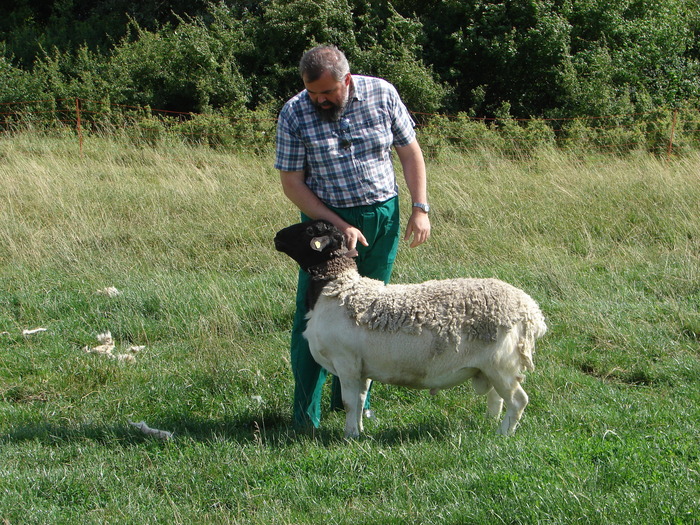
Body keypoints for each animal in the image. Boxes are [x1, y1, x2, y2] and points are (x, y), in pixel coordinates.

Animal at [274, 219, 548, 436]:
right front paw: (360, 431)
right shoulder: (362, 368)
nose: (277, 236)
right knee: (497, 398)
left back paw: (503, 434)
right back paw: (491, 425)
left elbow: (350, 402)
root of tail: (531, 312)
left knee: (517, 401)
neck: (336, 289)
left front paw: (350, 436)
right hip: (492, 367)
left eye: (310, 230)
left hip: (502, 363)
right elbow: (361, 400)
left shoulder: (347, 362)